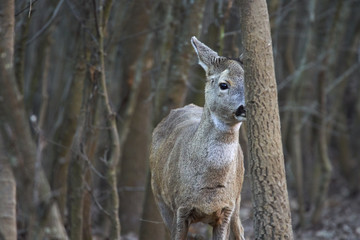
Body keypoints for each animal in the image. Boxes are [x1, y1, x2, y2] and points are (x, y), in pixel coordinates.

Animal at [150, 36, 246, 240]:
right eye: (224, 84)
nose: (244, 108)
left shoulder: (227, 208)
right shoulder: (179, 207)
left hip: (238, 196)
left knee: (240, 230)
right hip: (158, 195)